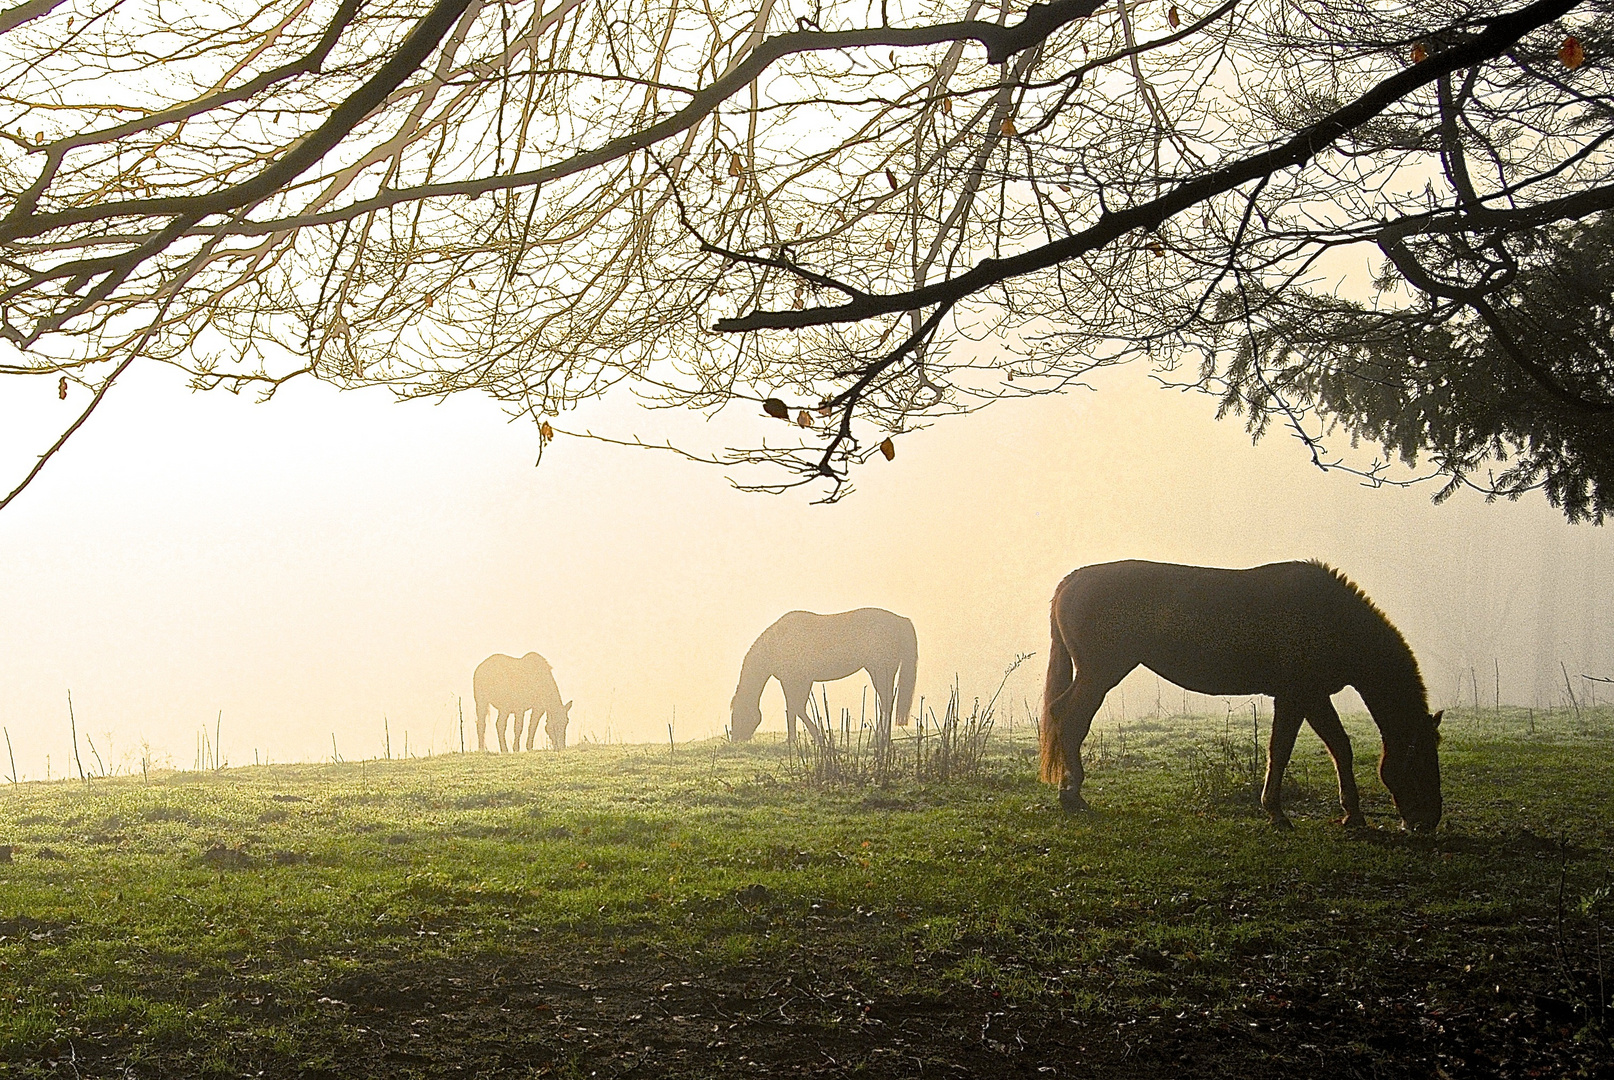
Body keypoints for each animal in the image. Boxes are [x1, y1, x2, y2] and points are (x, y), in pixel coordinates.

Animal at [732, 610, 923, 745]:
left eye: (738, 712)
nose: (735, 738)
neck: (777, 644)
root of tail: (900, 621)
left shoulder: (795, 681)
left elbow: (796, 708)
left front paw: (815, 737)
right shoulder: (798, 681)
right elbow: (794, 709)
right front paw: (798, 738)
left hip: (880, 671)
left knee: (886, 702)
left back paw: (878, 737)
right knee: (887, 702)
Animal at [1039, 561, 1446, 833]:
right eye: (1418, 757)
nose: (1428, 821)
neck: (1332, 618)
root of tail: (1071, 581)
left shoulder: (1312, 696)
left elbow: (1339, 747)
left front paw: (1353, 814)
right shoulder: (1299, 696)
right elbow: (1282, 750)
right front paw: (1276, 812)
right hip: (1099, 673)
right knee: (1070, 720)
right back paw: (1072, 795)